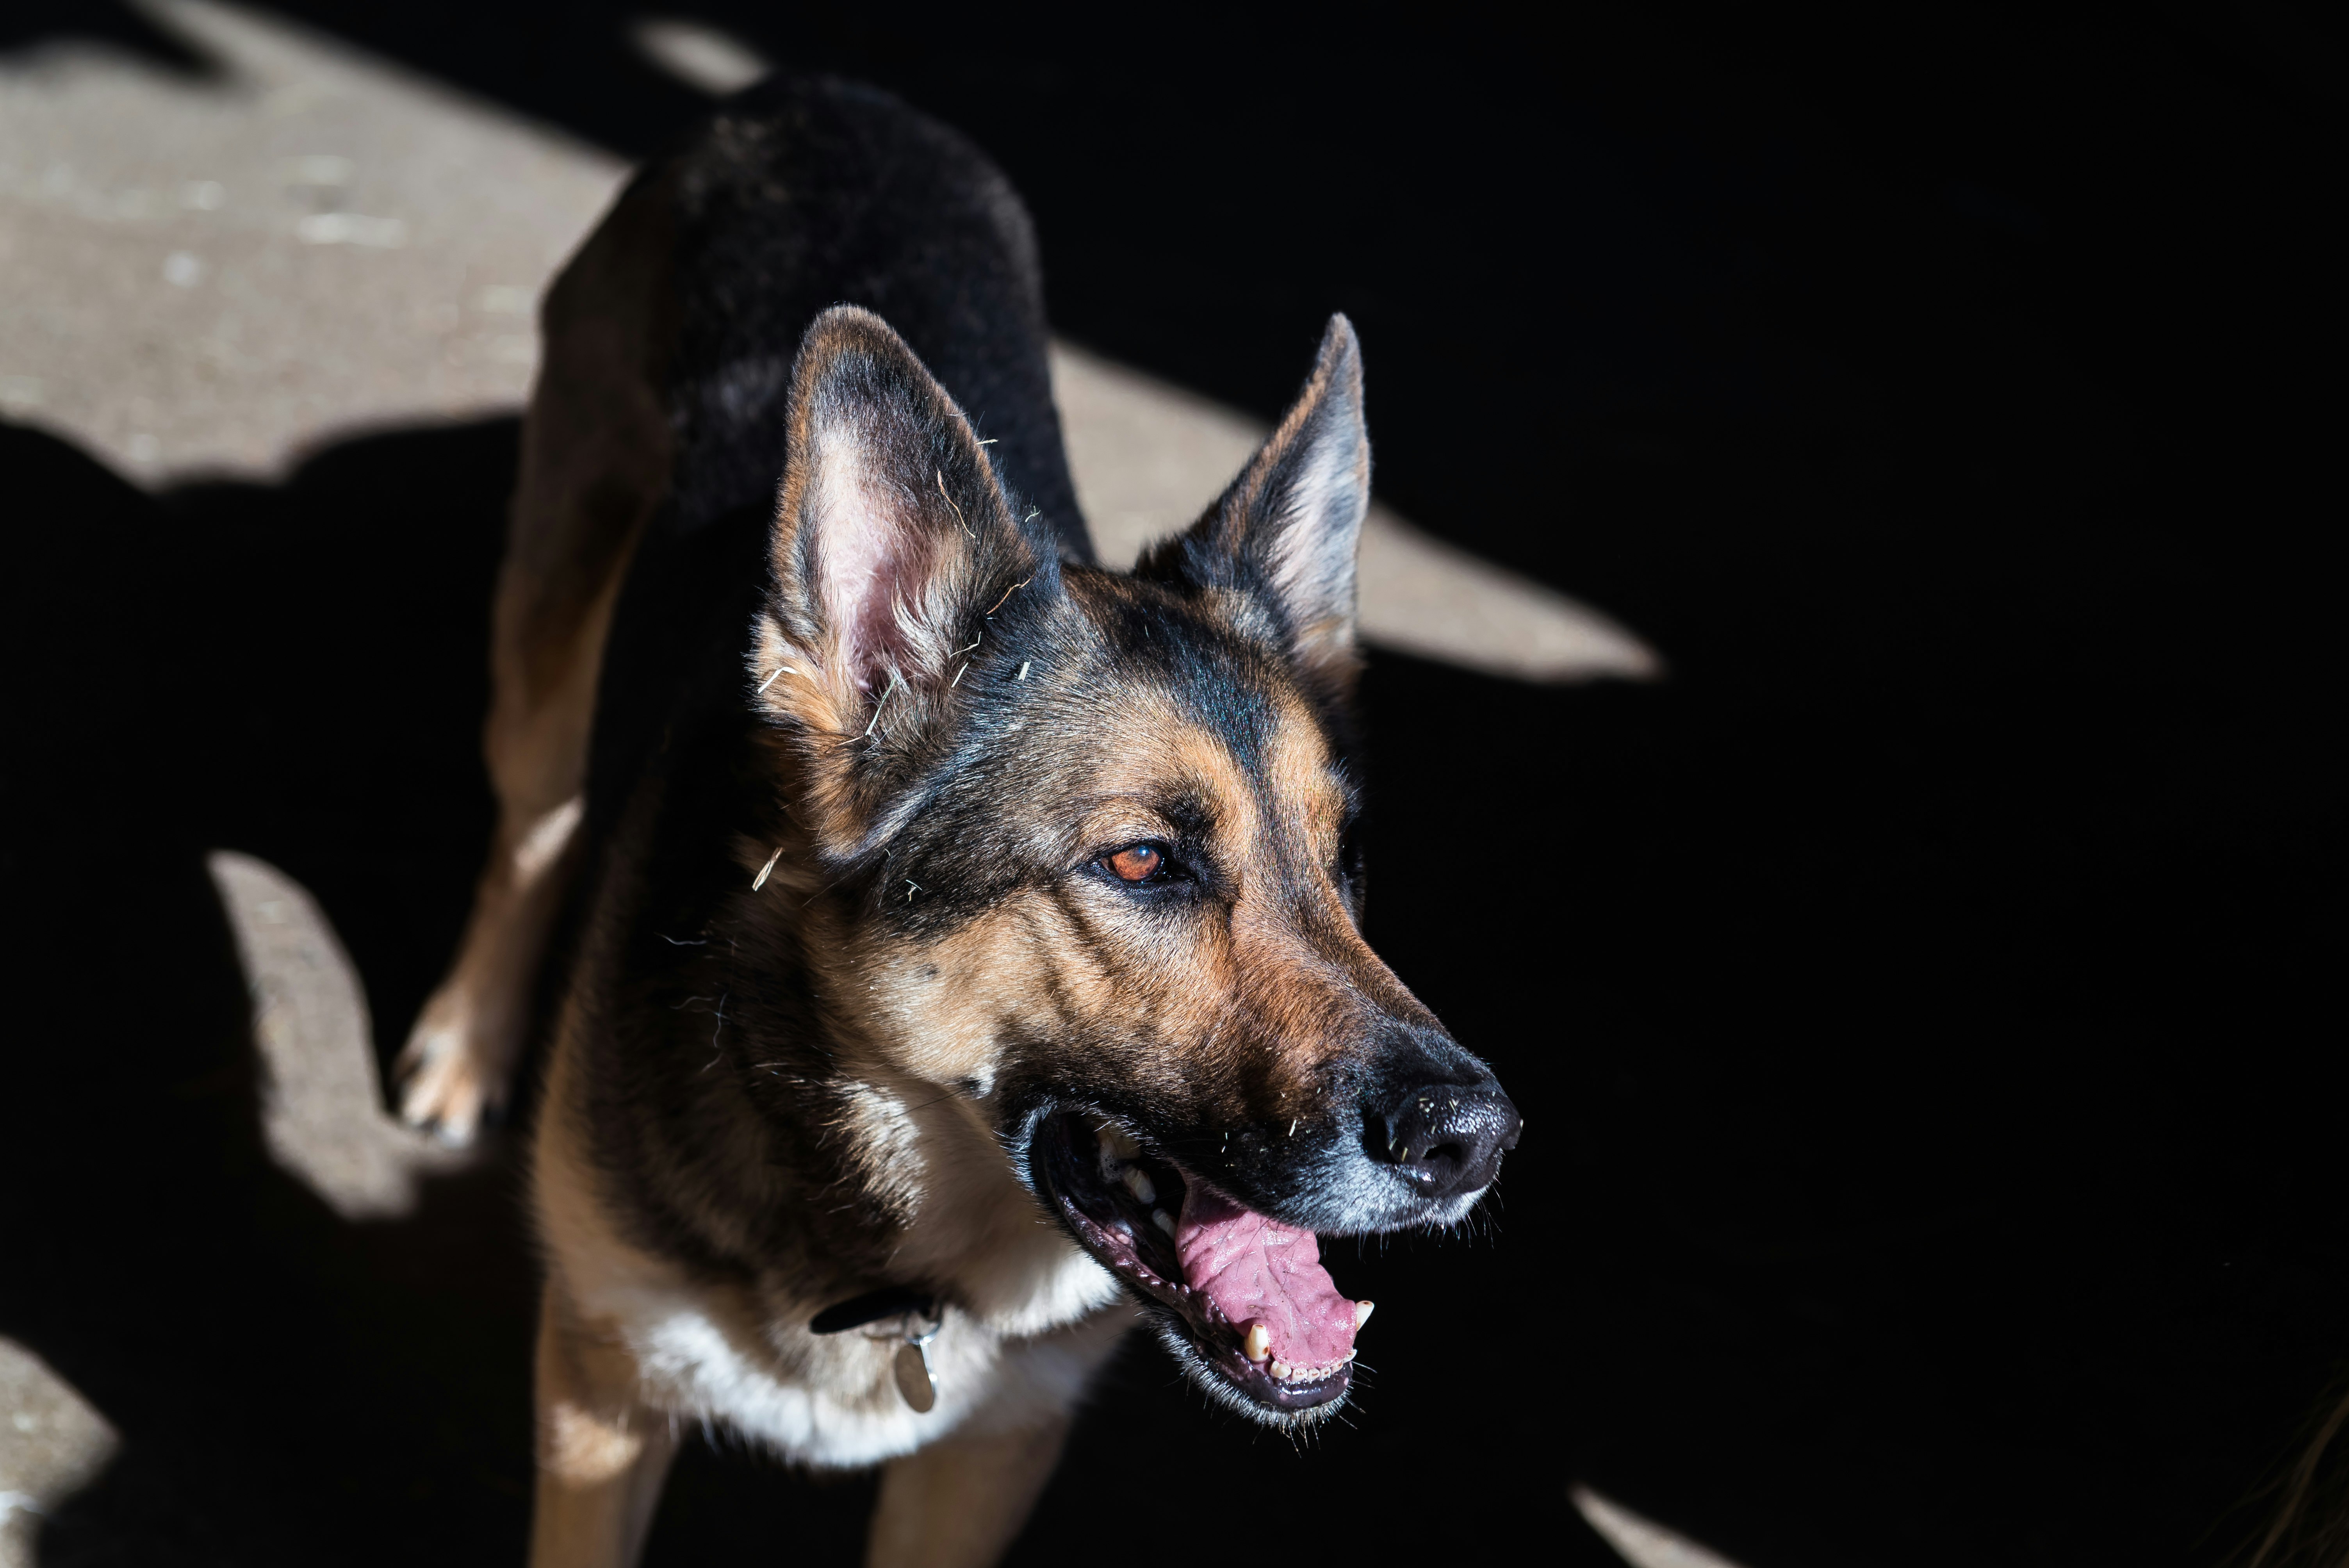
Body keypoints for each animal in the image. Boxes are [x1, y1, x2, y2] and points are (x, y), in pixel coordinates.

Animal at [394, 76, 1522, 1568]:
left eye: (1344, 865)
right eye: (1141, 862)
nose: (1475, 1141)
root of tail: (817, 94)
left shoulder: (991, 1453)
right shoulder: (596, 1397)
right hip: (550, 623)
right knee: (533, 822)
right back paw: (465, 1045)